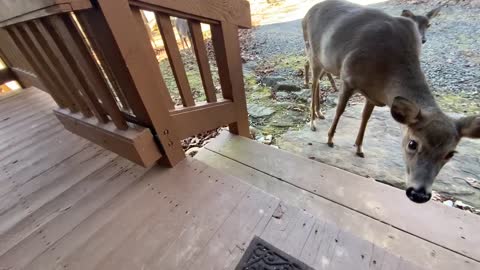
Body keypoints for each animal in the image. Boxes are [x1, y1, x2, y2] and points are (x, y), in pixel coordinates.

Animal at [302, 0, 478, 202]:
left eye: (450, 154)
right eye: (412, 143)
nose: (419, 194)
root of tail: (308, 13)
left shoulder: (374, 95)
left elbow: (365, 118)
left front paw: (359, 148)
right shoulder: (348, 77)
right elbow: (340, 110)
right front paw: (330, 139)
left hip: (326, 62)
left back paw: (319, 113)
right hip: (313, 52)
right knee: (313, 82)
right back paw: (313, 122)